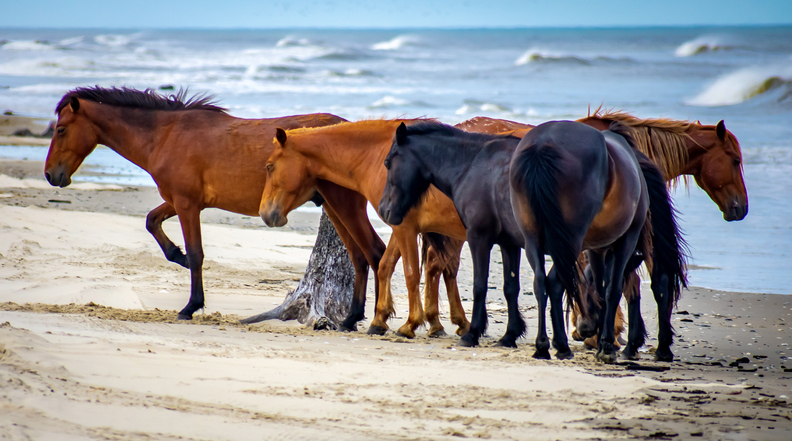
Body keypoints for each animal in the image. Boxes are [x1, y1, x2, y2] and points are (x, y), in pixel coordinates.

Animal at [45, 87, 386, 326]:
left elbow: (197, 253)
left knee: (373, 252)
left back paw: (372, 321)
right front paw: (178, 257)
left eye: (61, 129)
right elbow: (152, 221)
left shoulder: (186, 204)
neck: (166, 136)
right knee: (359, 257)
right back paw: (352, 319)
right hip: (334, 207)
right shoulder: (181, 201)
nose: (51, 175)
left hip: (344, 205)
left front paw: (191, 305)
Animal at [260, 119, 474, 336]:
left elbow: (410, 272)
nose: (264, 212)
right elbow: (385, 265)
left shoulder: (404, 226)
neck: (378, 158)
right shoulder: (400, 225)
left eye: (269, 166)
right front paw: (380, 319)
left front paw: (409, 323)